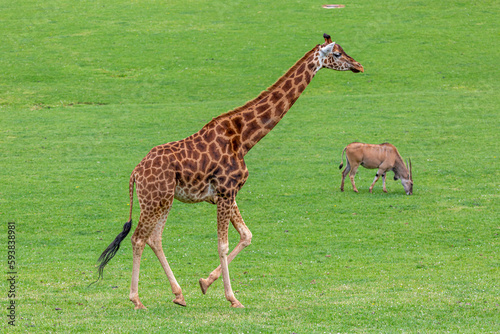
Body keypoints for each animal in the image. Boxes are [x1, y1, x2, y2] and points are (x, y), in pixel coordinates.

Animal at [95, 32, 364, 310]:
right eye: (337, 54)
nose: (359, 66)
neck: (243, 138)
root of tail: (135, 173)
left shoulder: (226, 194)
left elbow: (246, 235)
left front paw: (205, 282)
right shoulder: (226, 191)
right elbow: (222, 244)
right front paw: (232, 298)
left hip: (163, 200)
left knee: (154, 238)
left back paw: (178, 295)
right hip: (154, 199)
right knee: (138, 238)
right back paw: (136, 299)